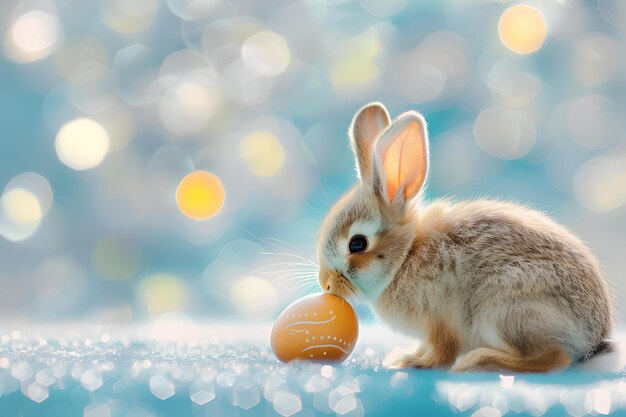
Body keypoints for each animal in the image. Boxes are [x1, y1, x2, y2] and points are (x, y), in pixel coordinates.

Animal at [316, 101, 616, 370]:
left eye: (357, 244)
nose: (326, 284)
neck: (405, 256)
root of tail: (592, 339)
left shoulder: (440, 318)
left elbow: (443, 351)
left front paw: (411, 362)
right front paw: (406, 355)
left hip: (502, 310)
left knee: (552, 359)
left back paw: (478, 361)